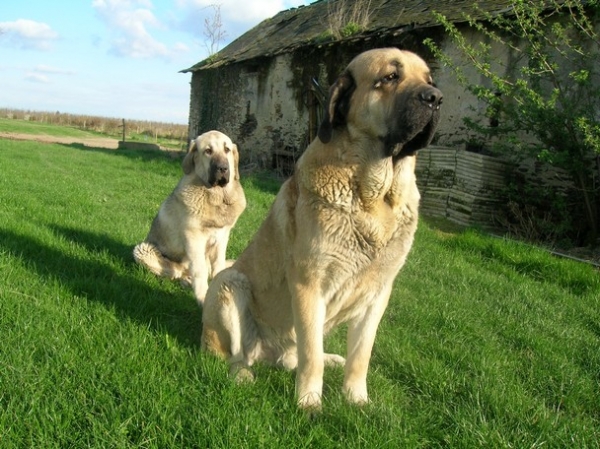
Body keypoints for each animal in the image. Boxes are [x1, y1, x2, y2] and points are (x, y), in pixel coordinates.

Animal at [134, 130, 246, 304]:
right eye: (208, 151)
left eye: (227, 149)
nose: (223, 168)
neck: (216, 197)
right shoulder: (194, 240)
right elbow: (199, 271)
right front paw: (202, 298)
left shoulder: (222, 238)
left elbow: (218, 265)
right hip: (143, 250)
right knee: (178, 272)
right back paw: (186, 280)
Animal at [202, 48, 440, 410]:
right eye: (390, 77)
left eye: (429, 80)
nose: (436, 98)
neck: (373, 195)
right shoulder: (309, 284)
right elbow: (311, 353)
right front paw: (309, 403)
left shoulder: (377, 295)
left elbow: (360, 355)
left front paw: (356, 400)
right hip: (228, 283)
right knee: (235, 354)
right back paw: (242, 373)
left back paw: (332, 359)